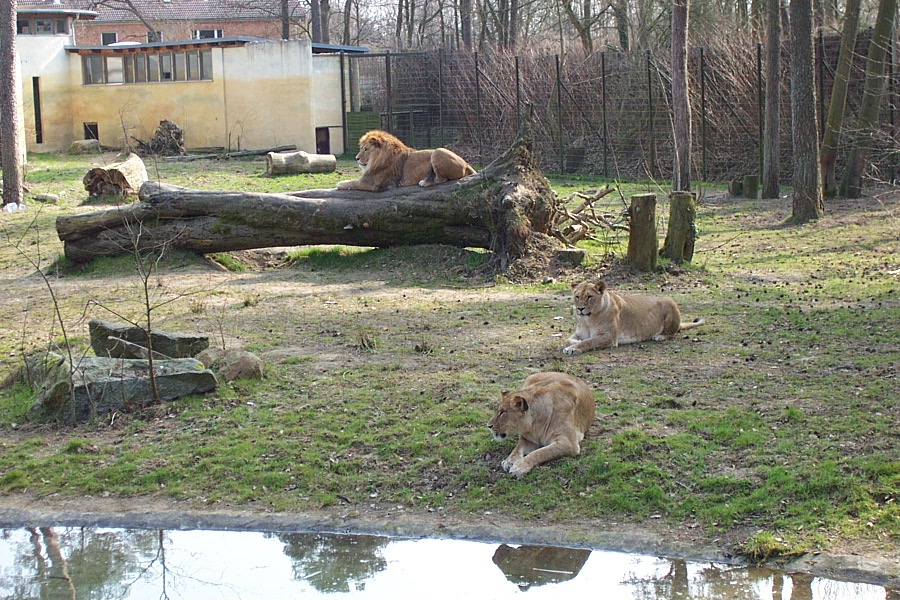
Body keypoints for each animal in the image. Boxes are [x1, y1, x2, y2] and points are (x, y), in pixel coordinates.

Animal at [336, 130, 476, 192]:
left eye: (366, 149)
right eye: (361, 148)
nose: (356, 158)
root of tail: (466, 163)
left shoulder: (373, 184)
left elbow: (353, 182)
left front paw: (340, 184)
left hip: (437, 151)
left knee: (442, 179)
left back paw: (425, 181)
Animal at [563, 280, 704, 355]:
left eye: (589, 297)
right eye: (577, 296)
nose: (580, 309)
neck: (588, 320)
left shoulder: (609, 337)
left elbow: (589, 341)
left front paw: (573, 348)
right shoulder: (579, 333)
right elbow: (568, 340)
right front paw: (573, 343)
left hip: (667, 300)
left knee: (671, 333)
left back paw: (659, 336)